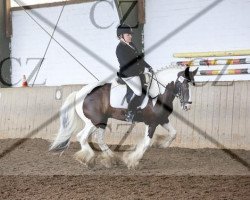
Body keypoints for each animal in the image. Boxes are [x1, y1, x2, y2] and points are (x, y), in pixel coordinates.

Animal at [48, 67, 197, 169]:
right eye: (184, 85)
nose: (188, 106)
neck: (158, 93)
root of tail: (80, 92)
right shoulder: (152, 122)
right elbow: (146, 143)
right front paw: (132, 160)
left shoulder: (162, 120)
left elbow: (173, 133)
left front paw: (161, 144)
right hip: (93, 121)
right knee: (82, 137)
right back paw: (88, 159)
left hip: (101, 121)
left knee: (98, 139)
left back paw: (112, 159)